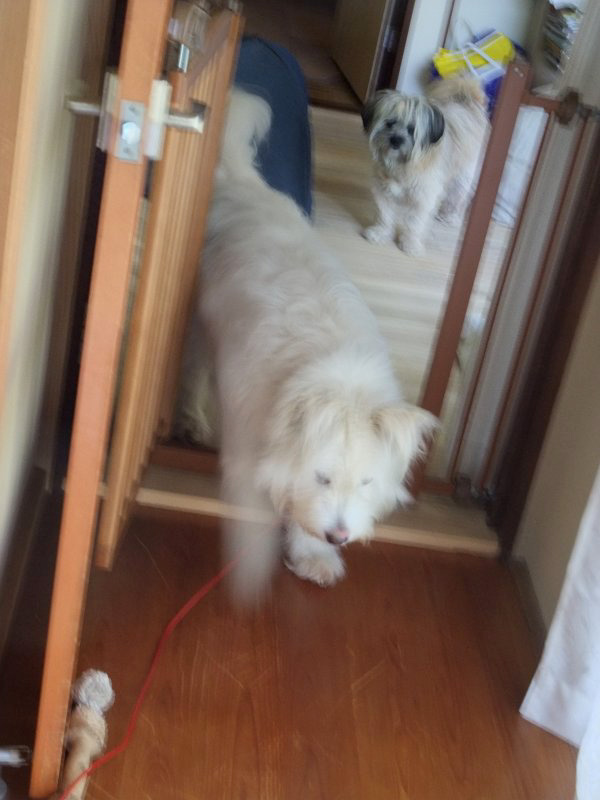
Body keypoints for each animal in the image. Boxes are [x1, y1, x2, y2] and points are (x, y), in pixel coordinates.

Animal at [189, 90, 437, 590]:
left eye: (366, 483)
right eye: (323, 478)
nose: (340, 535)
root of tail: (241, 181)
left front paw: (315, 555)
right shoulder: (251, 431)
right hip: (204, 327)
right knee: (199, 369)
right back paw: (198, 421)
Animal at [362, 77, 490, 255]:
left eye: (412, 129)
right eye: (390, 123)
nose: (395, 140)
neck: (404, 165)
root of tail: (468, 104)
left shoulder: (424, 198)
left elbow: (415, 223)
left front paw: (410, 244)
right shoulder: (383, 190)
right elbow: (384, 214)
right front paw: (380, 233)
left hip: (463, 176)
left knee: (458, 198)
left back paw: (450, 216)